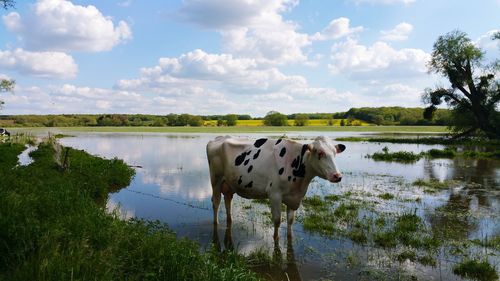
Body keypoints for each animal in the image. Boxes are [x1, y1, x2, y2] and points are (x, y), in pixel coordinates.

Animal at [205, 136, 346, 241]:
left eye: (335, 153)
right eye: (320, 153)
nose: (337, 176)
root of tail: (220, 138)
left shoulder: (294, 198)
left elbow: (290, 220)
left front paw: (290, 237)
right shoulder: (274, 195)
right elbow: (277, 220)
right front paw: (276, 237)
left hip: (229, 183)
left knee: (228, 200)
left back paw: (230, 220)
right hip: (216, 180)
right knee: (216, 203)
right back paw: (216, 223)